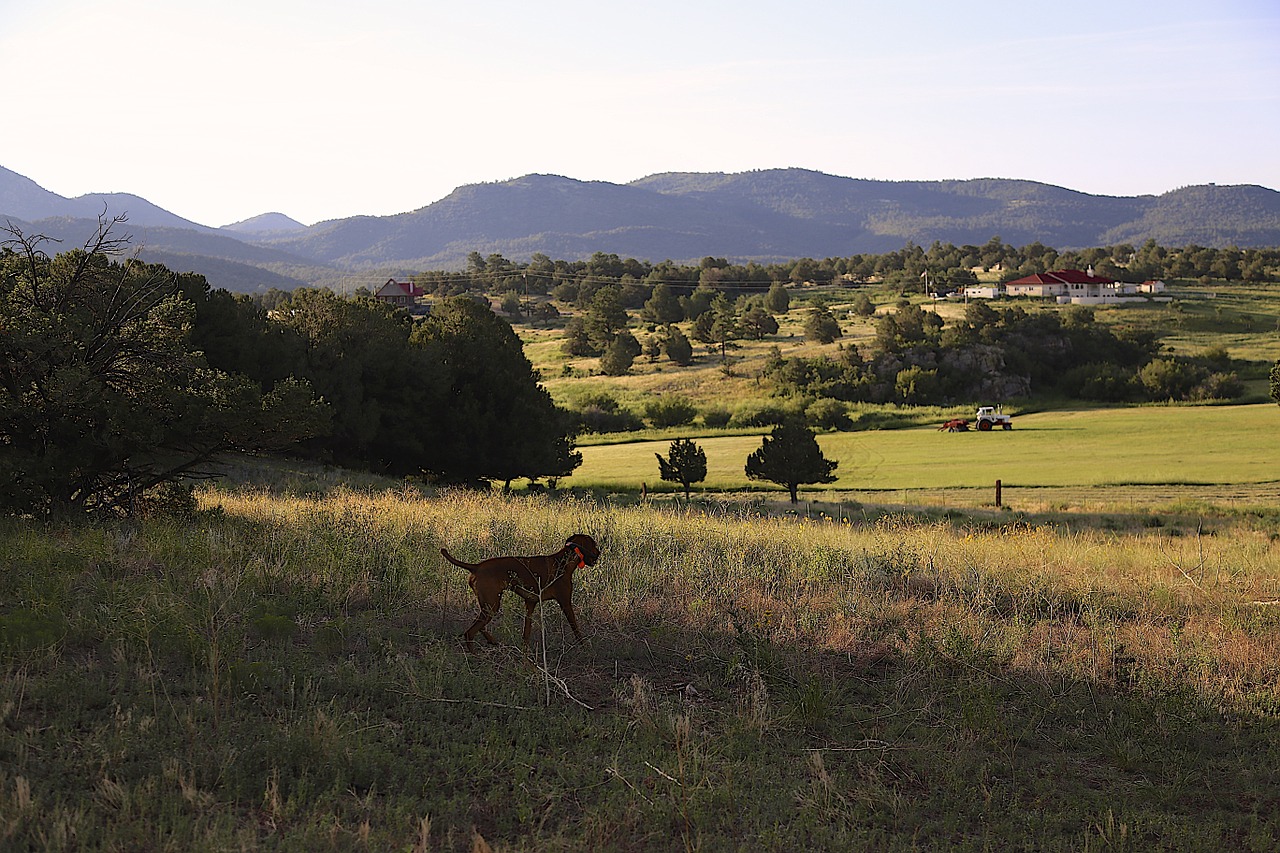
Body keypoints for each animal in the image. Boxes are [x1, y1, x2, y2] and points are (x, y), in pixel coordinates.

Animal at [440, 532, 599, 645]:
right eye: (594, 545)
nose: (599, 553)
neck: (564, 561)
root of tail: (476, 567)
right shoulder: (565, 603)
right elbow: (576, 628)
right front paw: (584, 647)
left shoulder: (530, 603)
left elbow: (526, 632)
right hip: (492, 605)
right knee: (470, 633)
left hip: (488, 605)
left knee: (479, 626)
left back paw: (492, 641)